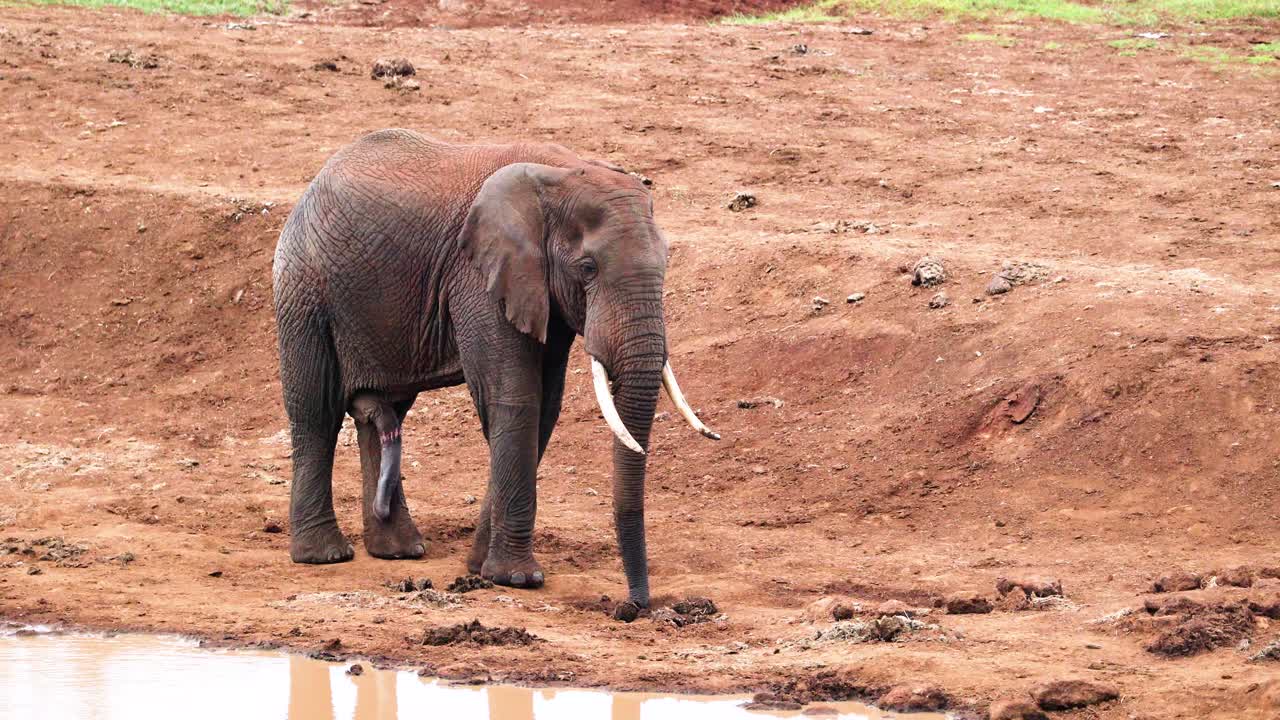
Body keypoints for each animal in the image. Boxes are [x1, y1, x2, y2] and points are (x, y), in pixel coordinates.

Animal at [271, 129, 718, 607]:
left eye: (666, 261)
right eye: (587, 267)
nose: (632, 607)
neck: (563, 175)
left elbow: (545, 407)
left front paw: (479, 568)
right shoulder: (478, 274)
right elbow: (514, 398)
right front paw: (517, 579)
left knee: (385, 414)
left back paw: (399, 551)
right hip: (302, 287)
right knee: (316, 411)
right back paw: (324, 556)